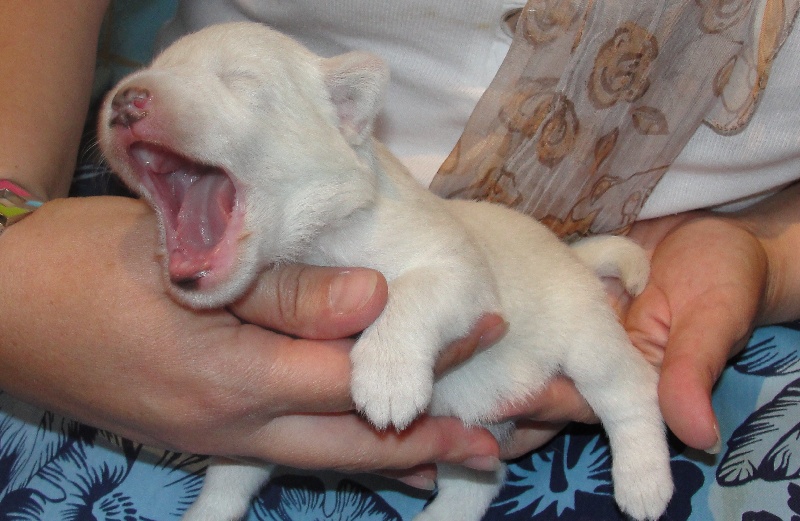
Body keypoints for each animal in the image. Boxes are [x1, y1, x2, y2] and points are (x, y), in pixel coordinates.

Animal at [99, 22, 673, 521]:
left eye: (238, 80)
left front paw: (387, 376)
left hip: (586, 338)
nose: (126, 98)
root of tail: (574, 257)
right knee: (476, 485)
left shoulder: (459, 270)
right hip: (475, 438)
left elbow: (410, 293)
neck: (315, 241)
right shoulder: (252, 433)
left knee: (630, 389)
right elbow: (231, 471)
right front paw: (207, 512)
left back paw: (644, 481)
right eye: (152, 68)